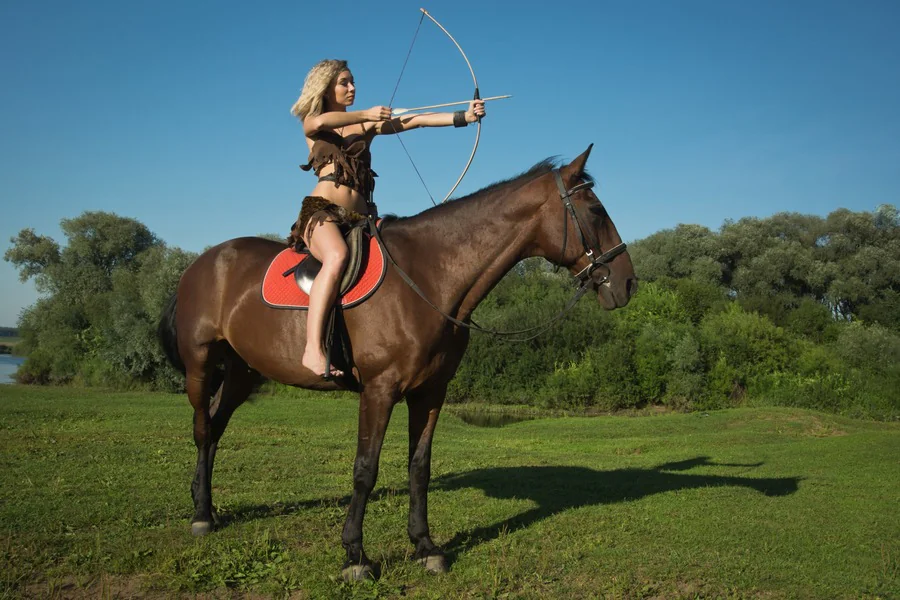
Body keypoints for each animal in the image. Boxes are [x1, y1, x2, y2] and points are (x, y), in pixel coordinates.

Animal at [158, 145, 636, 580]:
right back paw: (201, 516)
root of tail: (201, 263)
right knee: (203, 429)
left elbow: (419, 467)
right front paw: (355, 556)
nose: (628, 282)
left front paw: (425, 546)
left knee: (215, 427)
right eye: (596, 210)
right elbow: (365, 470)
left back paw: (206, 505)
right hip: (201, 365)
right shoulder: (379, 390)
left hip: (242, 371)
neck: (428, 277)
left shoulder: (430, 392)